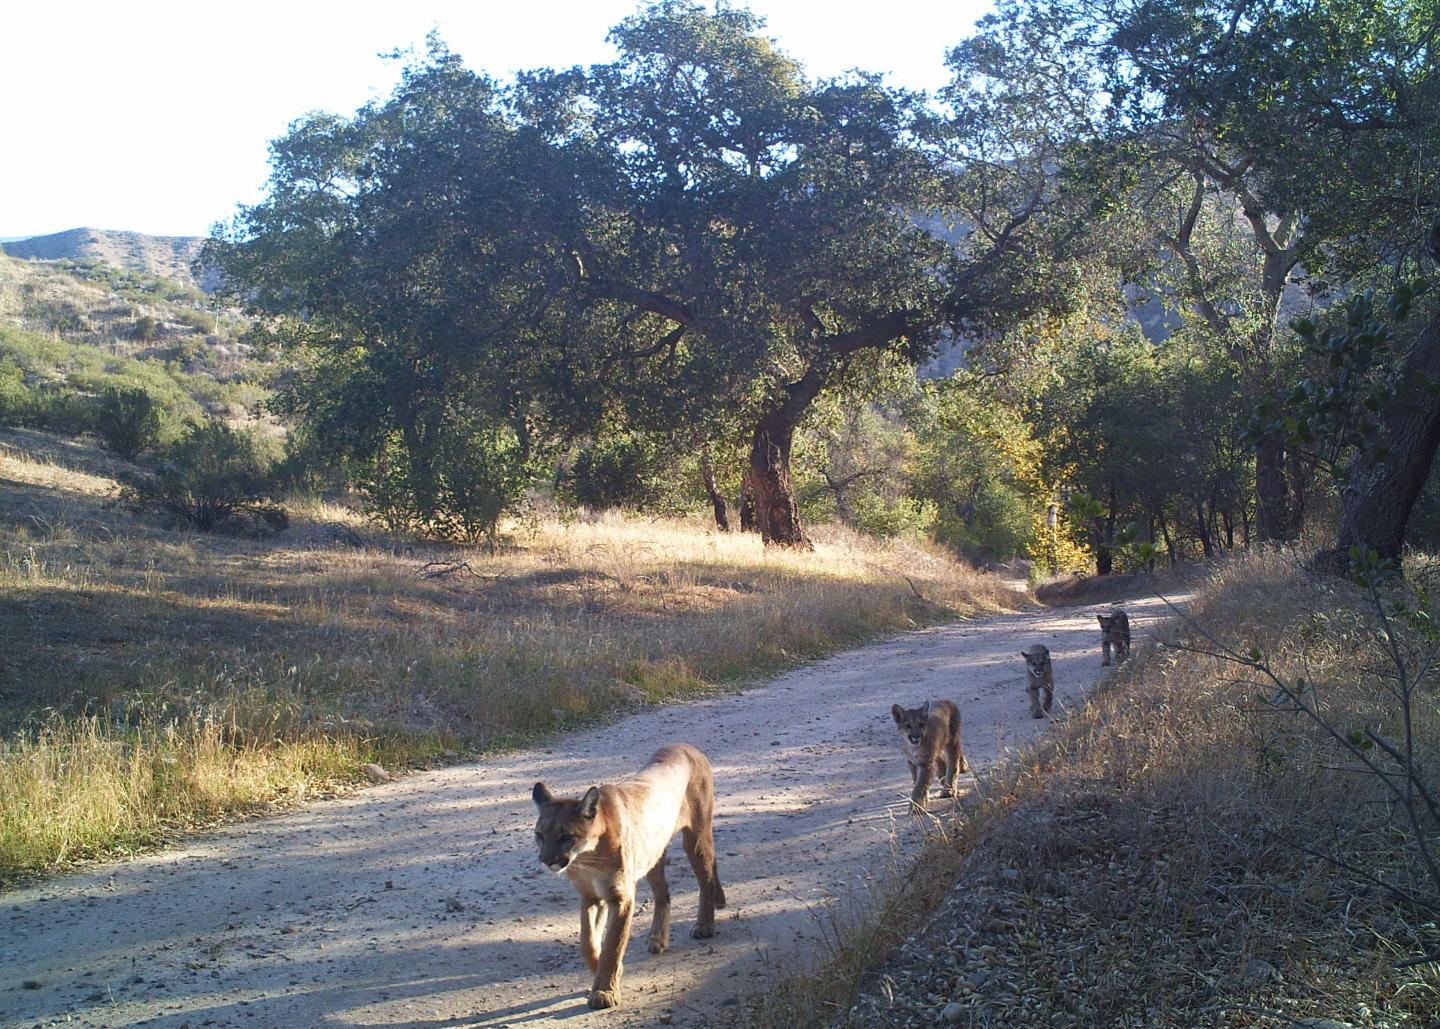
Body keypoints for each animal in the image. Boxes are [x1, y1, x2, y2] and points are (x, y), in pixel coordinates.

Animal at [532, 742, 725, 1013]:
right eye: (539, 835)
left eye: (566, 837)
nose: (547, 860)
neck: (587, 857)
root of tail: (686, 746)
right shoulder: (592, 896)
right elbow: (587, 942)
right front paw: (607, 973)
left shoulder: (620, 896)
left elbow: (613, 943)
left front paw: (604, 991)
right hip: (653, 854)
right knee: (663, 892)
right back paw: (657, 939)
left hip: (695, 838)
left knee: (705, 880)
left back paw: (704, 925)